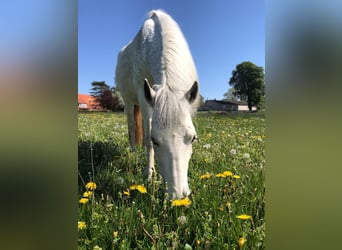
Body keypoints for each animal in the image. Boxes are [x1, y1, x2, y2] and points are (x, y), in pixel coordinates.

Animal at [115, 9, 199, 199]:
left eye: (193, 138)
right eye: (156, 140)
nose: (178, 196)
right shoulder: (144, 96)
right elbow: (146, 138)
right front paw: (149, 175)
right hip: (129, 101)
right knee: (132, 126)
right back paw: (133, 153)